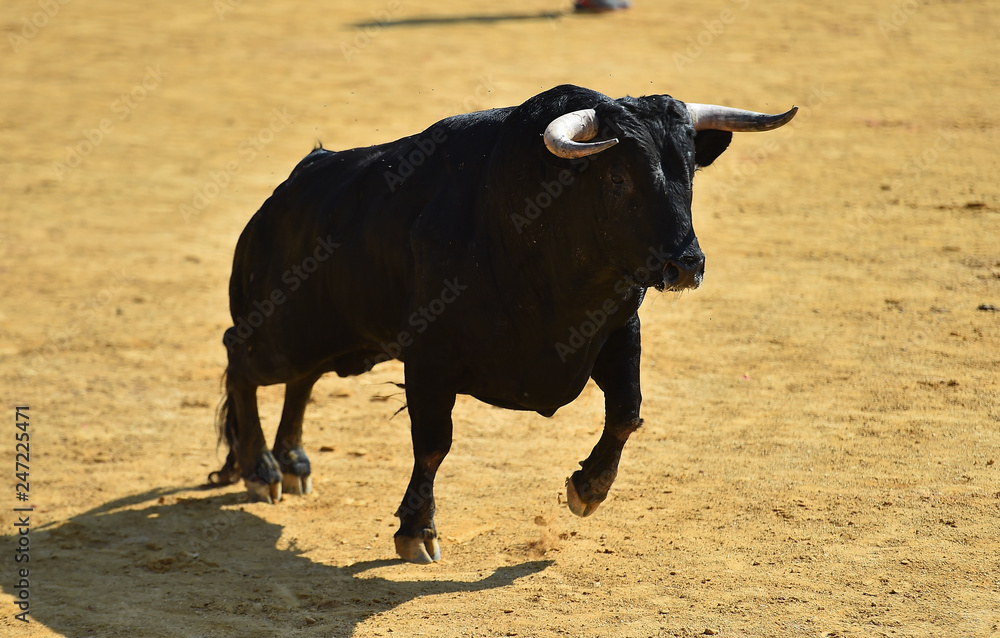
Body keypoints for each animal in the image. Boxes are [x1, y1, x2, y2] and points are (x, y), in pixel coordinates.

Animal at [207, 85, 792, 564]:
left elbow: (627, 412)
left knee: (300, 379)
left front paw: (588, 488)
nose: (686, 265)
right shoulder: (430, 360)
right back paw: (261, 469)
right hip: (284, 331)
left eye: (689, 172)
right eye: (619, 175)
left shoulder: (620, 333)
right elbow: (433, 444)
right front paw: (416, 532)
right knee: (241, 360)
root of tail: (283, 197)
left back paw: (292, 462)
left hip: (336, 344)